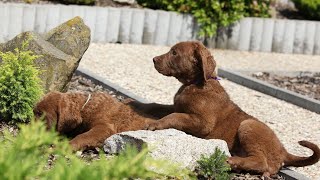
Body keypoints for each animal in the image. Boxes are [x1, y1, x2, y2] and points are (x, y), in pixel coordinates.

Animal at [128, 41, 320, 177]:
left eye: (174, 53)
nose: (154, 59)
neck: (195, 83)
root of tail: (283, 150)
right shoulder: (177, 106)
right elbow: (158, 105)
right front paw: (136, 103)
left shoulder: (202, 122)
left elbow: (175, 116)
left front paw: (155, 124)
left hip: (249, 125)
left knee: (261, 162)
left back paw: (231, 161)